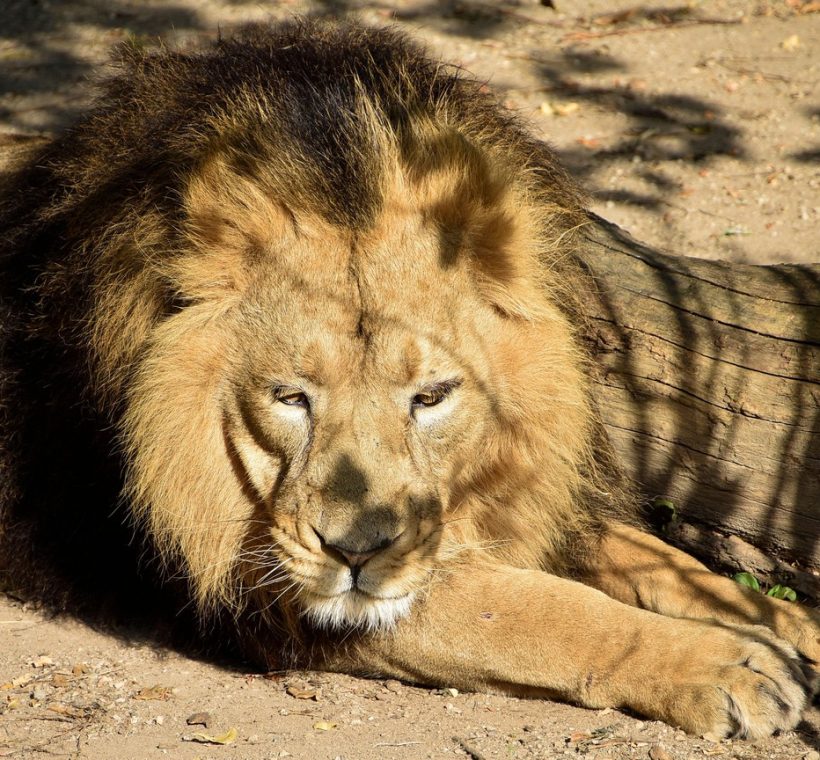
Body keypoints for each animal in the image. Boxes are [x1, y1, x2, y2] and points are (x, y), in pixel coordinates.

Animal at [0, 19, 817, 740]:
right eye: (291, 398)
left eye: (431, 399)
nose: (355, 555)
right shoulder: (275, 594)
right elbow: (536, 611)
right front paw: (724, 663)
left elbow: (666, 563)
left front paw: (790, 624)